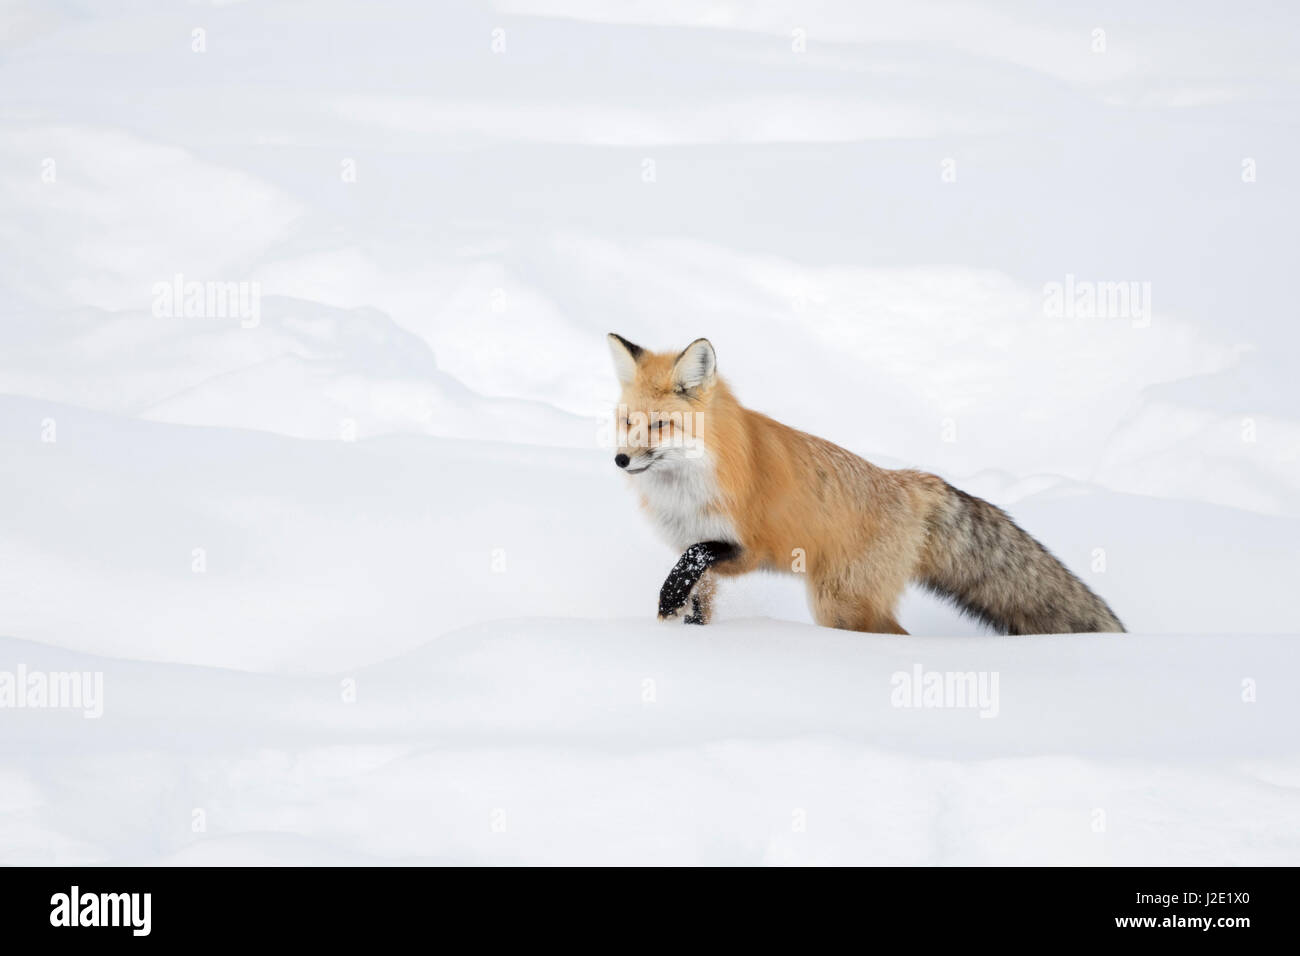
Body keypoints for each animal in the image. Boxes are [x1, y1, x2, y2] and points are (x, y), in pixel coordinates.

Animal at [608, 330, 1128, 634]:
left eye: (660, 426)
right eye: (629, 421)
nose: (620, 459)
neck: (686, 489)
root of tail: (910, 481)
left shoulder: (748, 546)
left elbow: (695, 560)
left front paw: (667, 600)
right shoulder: (699, 554)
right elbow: (695, 595)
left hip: (839, 604)